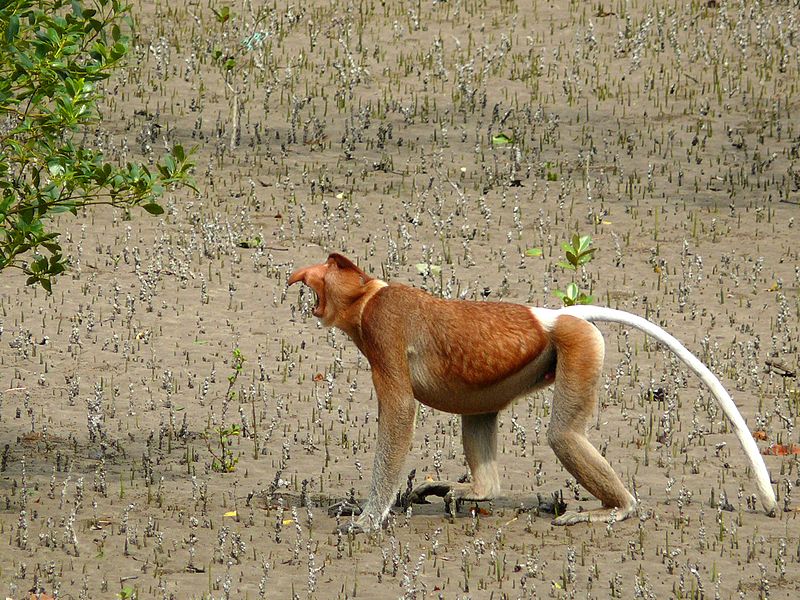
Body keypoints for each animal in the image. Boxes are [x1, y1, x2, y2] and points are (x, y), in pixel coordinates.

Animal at [288, 253, 776, 528]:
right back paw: (476, 491)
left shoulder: (384, 328)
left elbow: (400, 411)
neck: (368, 294)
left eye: (329, 266)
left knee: (563, 436)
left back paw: (617, 508)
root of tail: (555, 316)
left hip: (579, 346)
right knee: (478, 413)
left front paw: (367, 518)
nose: (300, 275)